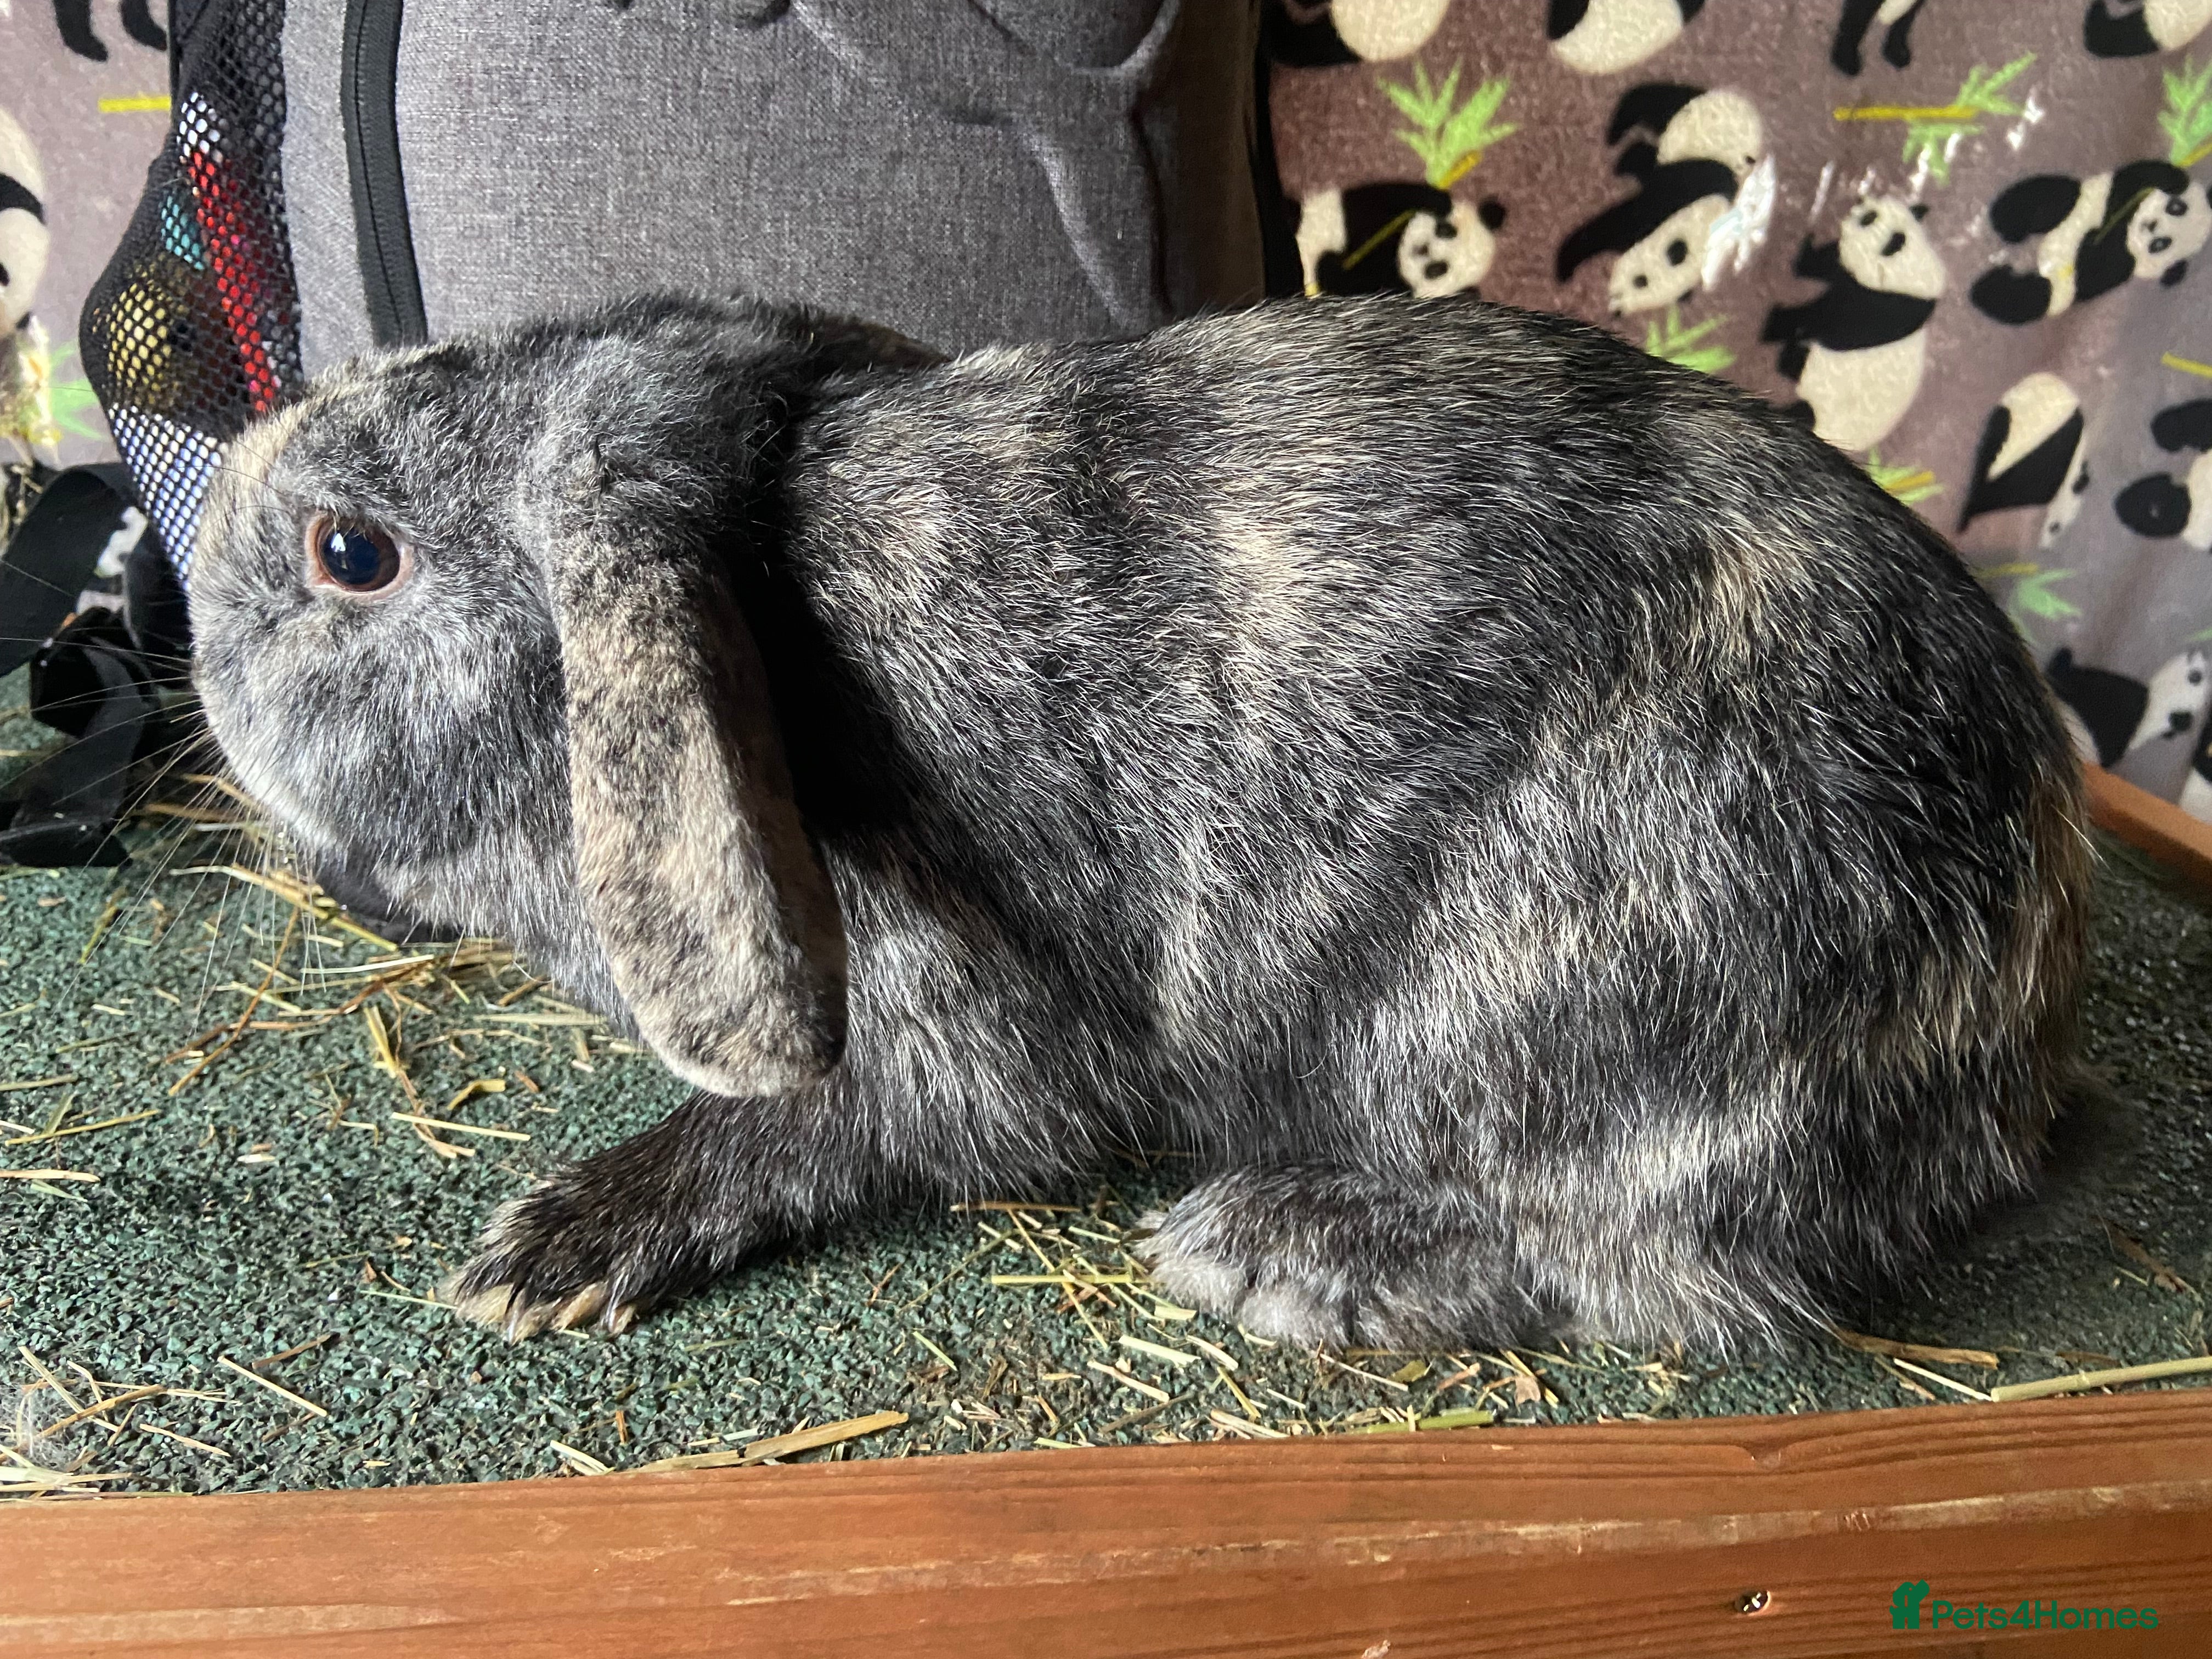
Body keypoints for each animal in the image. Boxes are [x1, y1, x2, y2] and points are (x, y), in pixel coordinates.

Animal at [187, 291, 2090, 1348]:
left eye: (353, 555)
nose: (194, 603)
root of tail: (2005, 1022)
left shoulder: (947, 1012)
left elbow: (844, 1124)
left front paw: (560, 1244)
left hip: (1544, 995)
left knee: (1661, 1277)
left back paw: (1275, 1252)